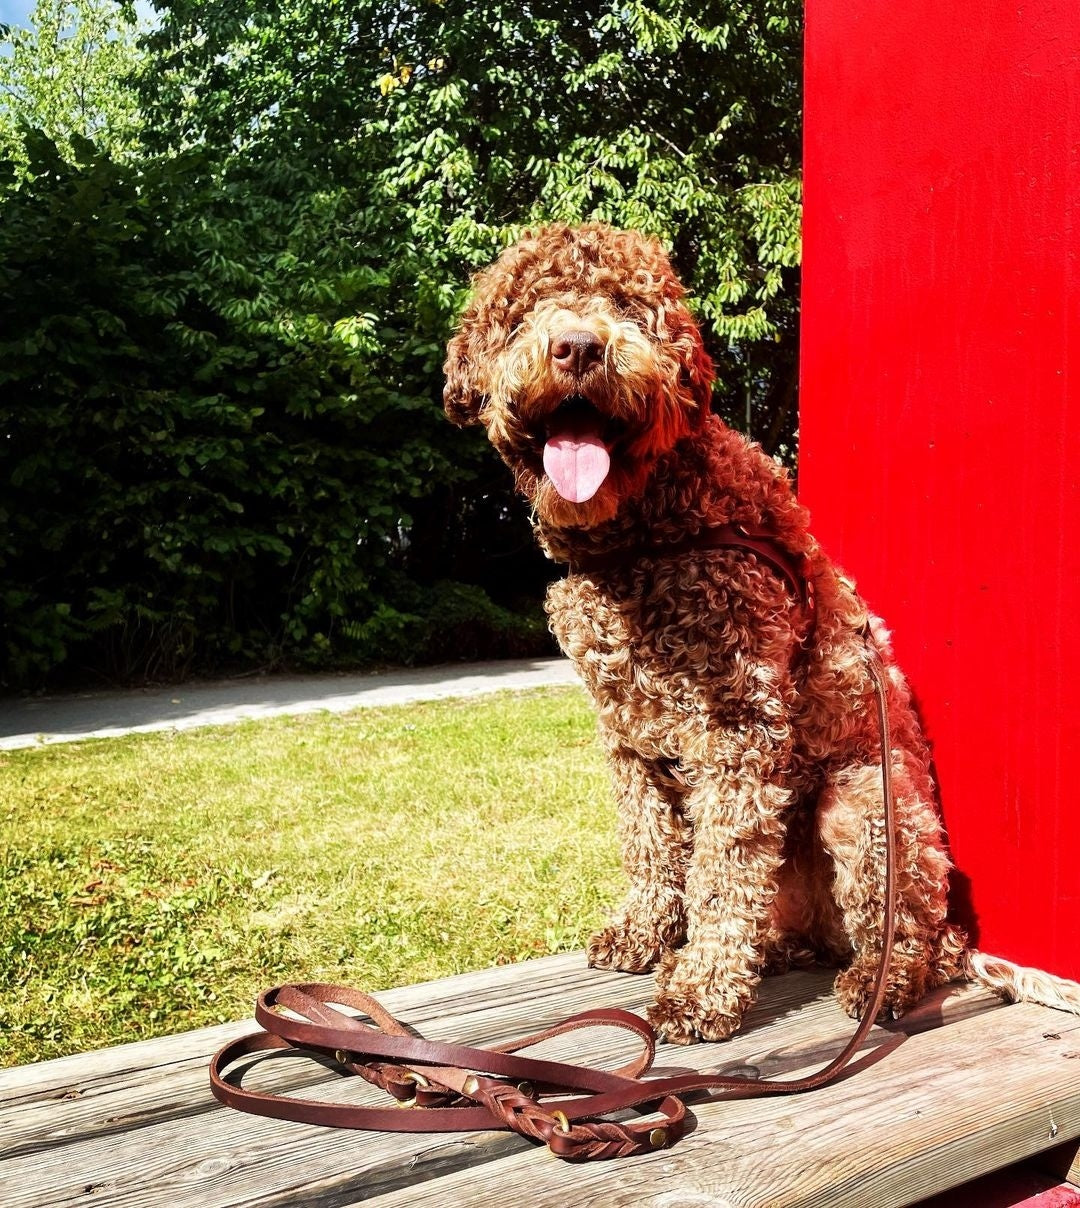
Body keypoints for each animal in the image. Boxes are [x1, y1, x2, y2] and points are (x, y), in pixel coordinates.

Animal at [446, 222, 1063, 1043]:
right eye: (526, 311)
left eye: (627, 307)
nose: (577, 346)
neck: (645, 536)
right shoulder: (626, 733)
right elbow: (648, 841)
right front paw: (645, 932)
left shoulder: (738, 725)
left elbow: (722, 870)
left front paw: (702, 988)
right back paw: (776, 951)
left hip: (866, 808)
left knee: (914, 933)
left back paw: (879, 981)